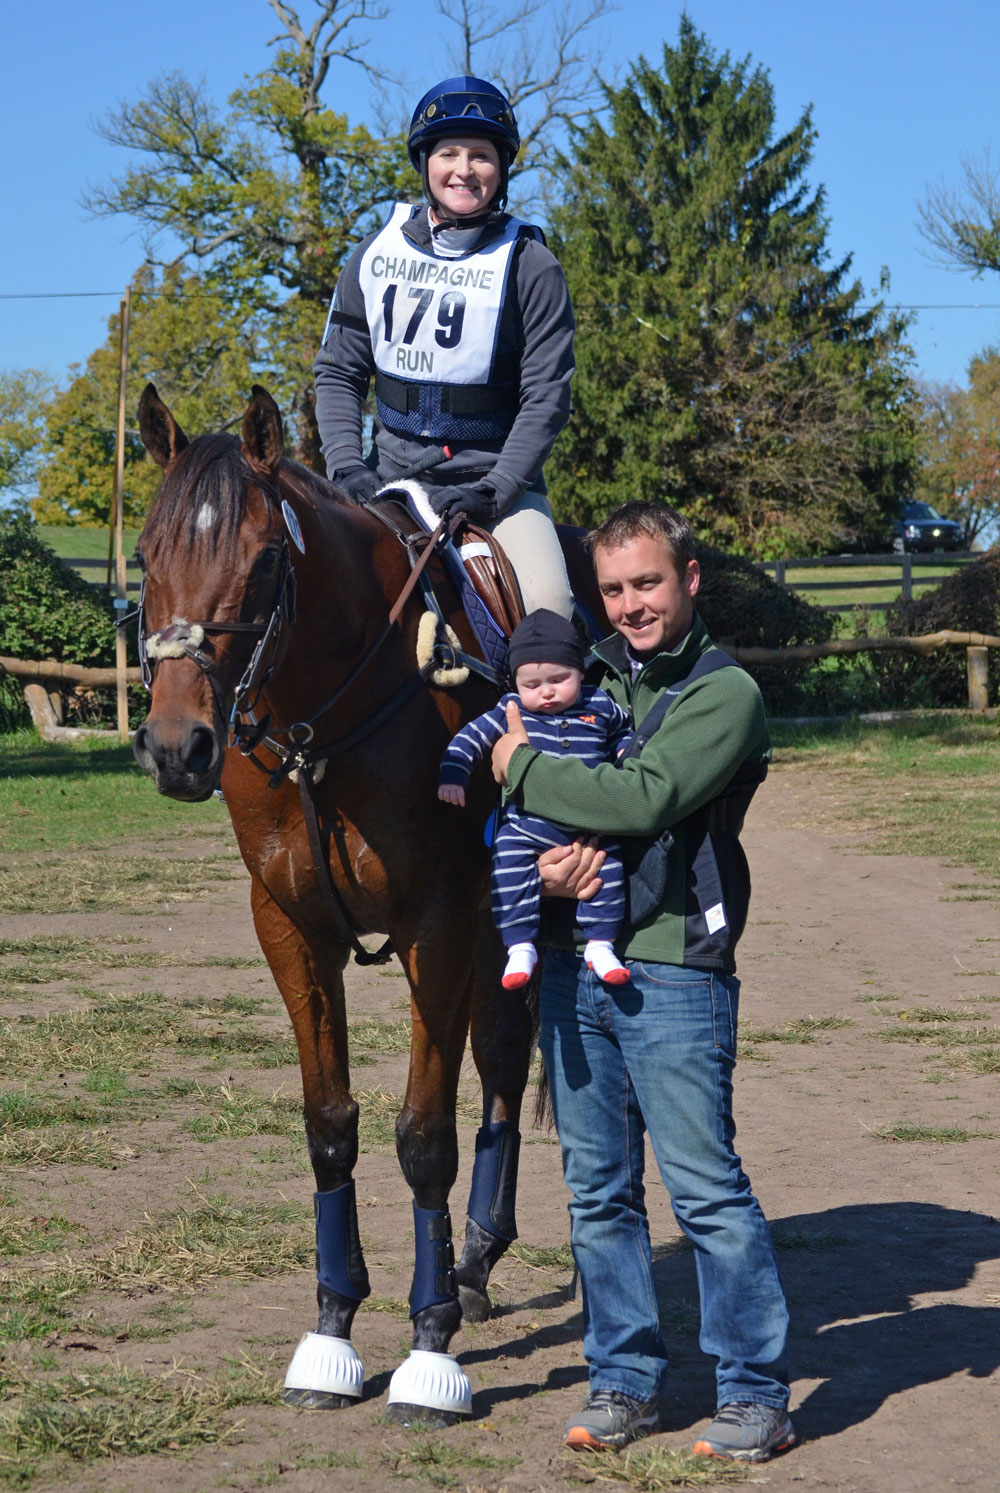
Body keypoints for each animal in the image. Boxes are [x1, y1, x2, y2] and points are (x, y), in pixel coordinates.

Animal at [132, 382, 602, 1421]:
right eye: (144, 553)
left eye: (265, 559)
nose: (179, 745)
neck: (334, 720)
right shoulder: (290, 928)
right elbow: (329, 1127)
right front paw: (333, 1327)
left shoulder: (441, 922)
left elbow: (423, 1135)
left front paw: (431, 1348)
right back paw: (474, 1262)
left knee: (500, 1063)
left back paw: (473, 1262)